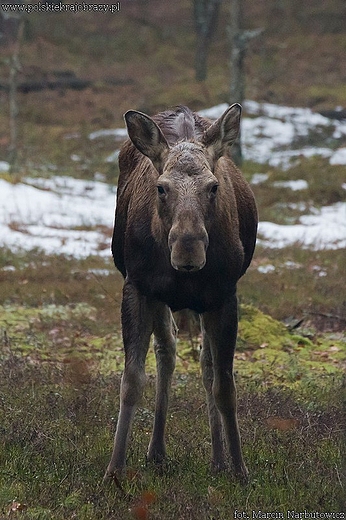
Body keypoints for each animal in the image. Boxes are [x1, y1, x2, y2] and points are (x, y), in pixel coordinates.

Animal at [105, 103, 256, 482]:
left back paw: (217, 459)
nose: (188, 249)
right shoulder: (138, 286)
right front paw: (114, 470)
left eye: (213, 186)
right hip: (161, 298)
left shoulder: (224, 294)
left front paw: (239, 469)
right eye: (162, 187)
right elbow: (131, 380)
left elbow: (224, 385)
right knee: (168, 352)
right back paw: (157, 450)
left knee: (204, 365)